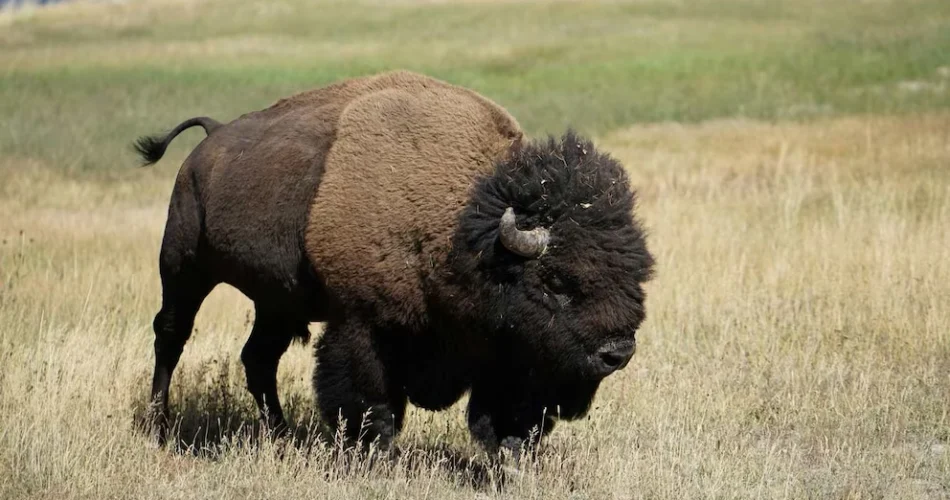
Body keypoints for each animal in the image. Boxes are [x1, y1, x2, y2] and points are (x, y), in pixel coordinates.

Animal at [135, 70, 654, 454]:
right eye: (555, 283)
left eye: (636, 277)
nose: (617, 353)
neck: (461, 231)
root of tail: (212, 139)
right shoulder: (362, 323)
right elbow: (369, 400)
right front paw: (371, 452)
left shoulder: (506, 352)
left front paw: (509, 456)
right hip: (183, 266)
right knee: (171, 335)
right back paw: (160, 427)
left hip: (277, 303)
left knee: (258, 358)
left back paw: (280, 437)